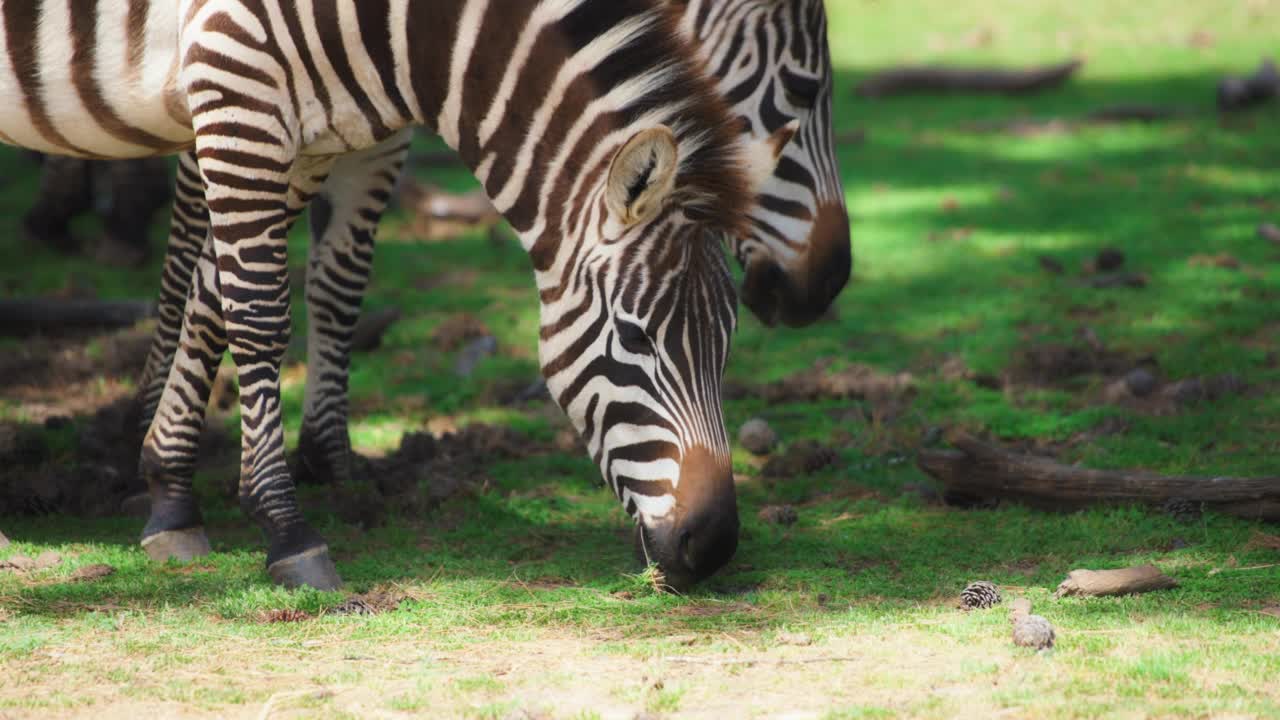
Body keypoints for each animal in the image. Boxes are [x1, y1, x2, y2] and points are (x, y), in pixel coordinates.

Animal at [0, 0, 773, 589]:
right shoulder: (234, 80)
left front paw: (170, 494)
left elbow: (214, 297)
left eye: (730, 343)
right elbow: (256, 311)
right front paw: (285, 529)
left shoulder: (295, 130)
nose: (714, 546)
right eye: (636, 337)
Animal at [132, 0, 849, 527]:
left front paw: (325, 463)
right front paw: (165, 452)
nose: (831, 280)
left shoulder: (337, 120)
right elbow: (210, 258)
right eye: (804, 88)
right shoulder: (238, 89)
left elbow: (324, 279)